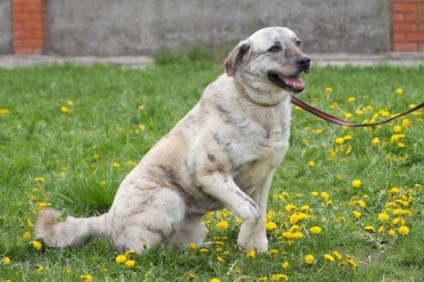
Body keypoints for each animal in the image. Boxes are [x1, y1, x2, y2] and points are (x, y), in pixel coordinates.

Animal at [34, 27, 310, 253]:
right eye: (274, 48)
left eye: (298, 43)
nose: (306, 60)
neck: (256, 105)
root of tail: (107, 219)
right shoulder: (212, 174)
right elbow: (251, 211)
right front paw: (243, 242)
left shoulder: (265, 177)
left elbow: (261, 214)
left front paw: (258, 249)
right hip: (169, 198)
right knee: (143, 250)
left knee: (176, 245)